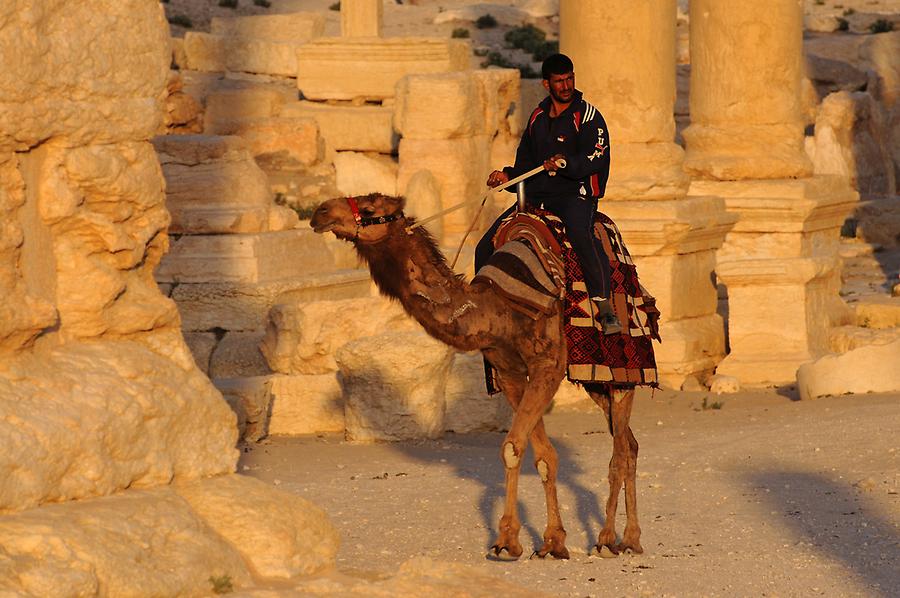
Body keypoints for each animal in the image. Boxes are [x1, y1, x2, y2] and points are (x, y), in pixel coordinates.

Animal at [312, 193, 644, 564]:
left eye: (369, 209)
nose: (319, 212)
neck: (496, 308)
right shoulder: (508, 371)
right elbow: (541, 454)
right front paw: (550, 543)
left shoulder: (547, 364)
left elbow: (513, 446)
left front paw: (505, 543)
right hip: (593, 380)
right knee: (630, 443)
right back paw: (630, 538)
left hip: (622, 370)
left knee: (620, 450)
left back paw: (608, 539)